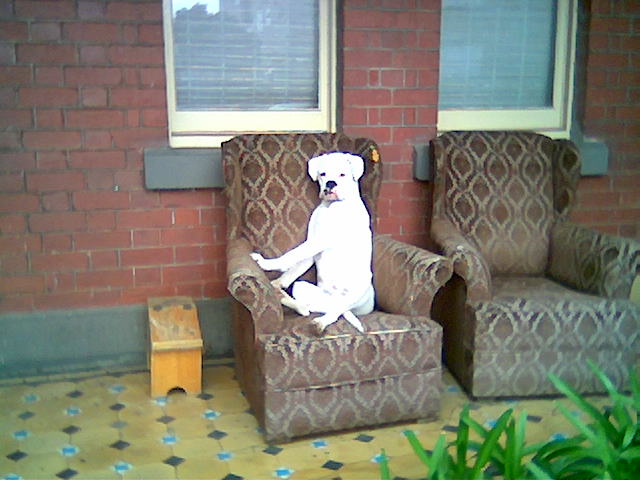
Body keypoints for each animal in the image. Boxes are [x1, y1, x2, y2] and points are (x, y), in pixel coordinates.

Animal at [251, 152, 376, 332]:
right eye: (323, 174)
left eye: (342, 174)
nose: (331, 183)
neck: (331, 206)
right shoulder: (312, 245)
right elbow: (294, 268)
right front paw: (278, 282)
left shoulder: (319, 240)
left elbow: (292, 254)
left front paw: (266, 263)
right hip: (303, 288)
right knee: (313, 307)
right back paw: (286, 298)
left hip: (356, 293)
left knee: (336, 311)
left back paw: (320, 323)